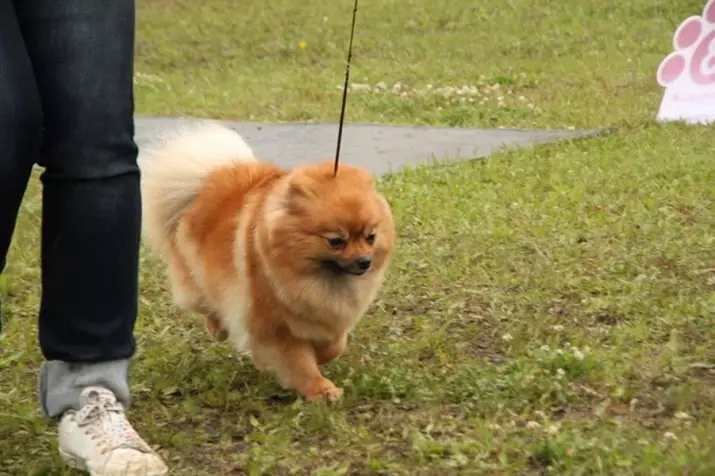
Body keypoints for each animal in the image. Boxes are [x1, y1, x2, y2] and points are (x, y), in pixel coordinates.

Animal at [140, 122, 398, 402]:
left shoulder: (326, 317)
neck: (318, 278)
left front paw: (320, 357)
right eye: (336, 241)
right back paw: (218, 328)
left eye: (370, 237)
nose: (364, 261)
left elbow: (335, 344)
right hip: (199, 281)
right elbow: (300, 363)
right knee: (207, 304)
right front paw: (320, 389)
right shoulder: (276, 326)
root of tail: (211, 177)